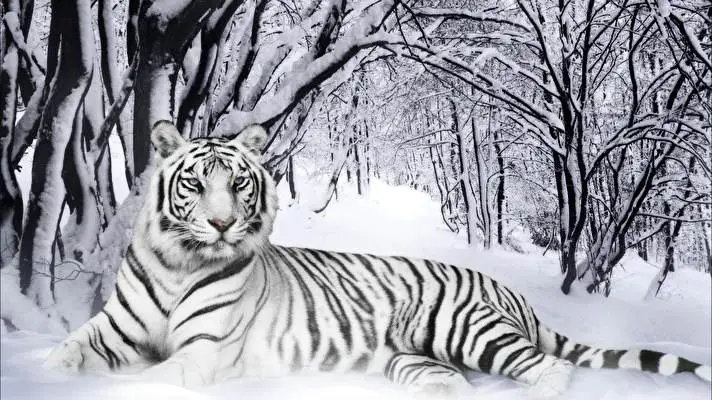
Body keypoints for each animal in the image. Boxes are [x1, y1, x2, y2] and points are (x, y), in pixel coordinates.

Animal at [43, 120, 711, 399]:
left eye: (238, 184)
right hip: (412, 360)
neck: (180, 263)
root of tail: (509, 291)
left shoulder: (203, 353)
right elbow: (64, 354)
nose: (223, 223)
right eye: (195, 183)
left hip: (466, 328)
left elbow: (145, 380)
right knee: (455, 383)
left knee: (549, 369)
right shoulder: (110, 332)